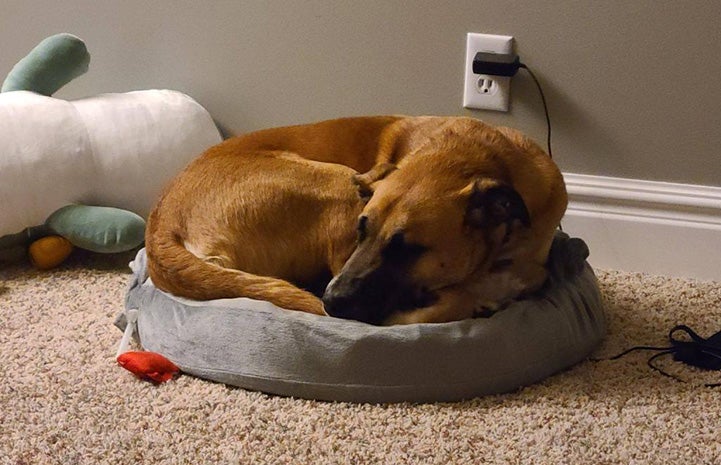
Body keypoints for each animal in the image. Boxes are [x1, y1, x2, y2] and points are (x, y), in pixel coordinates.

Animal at [143, 116, 564, 324]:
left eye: (408, 249)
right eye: (363, 229)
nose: (331, 302)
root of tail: (161, 217)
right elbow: (449, 304)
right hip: (337, 182)